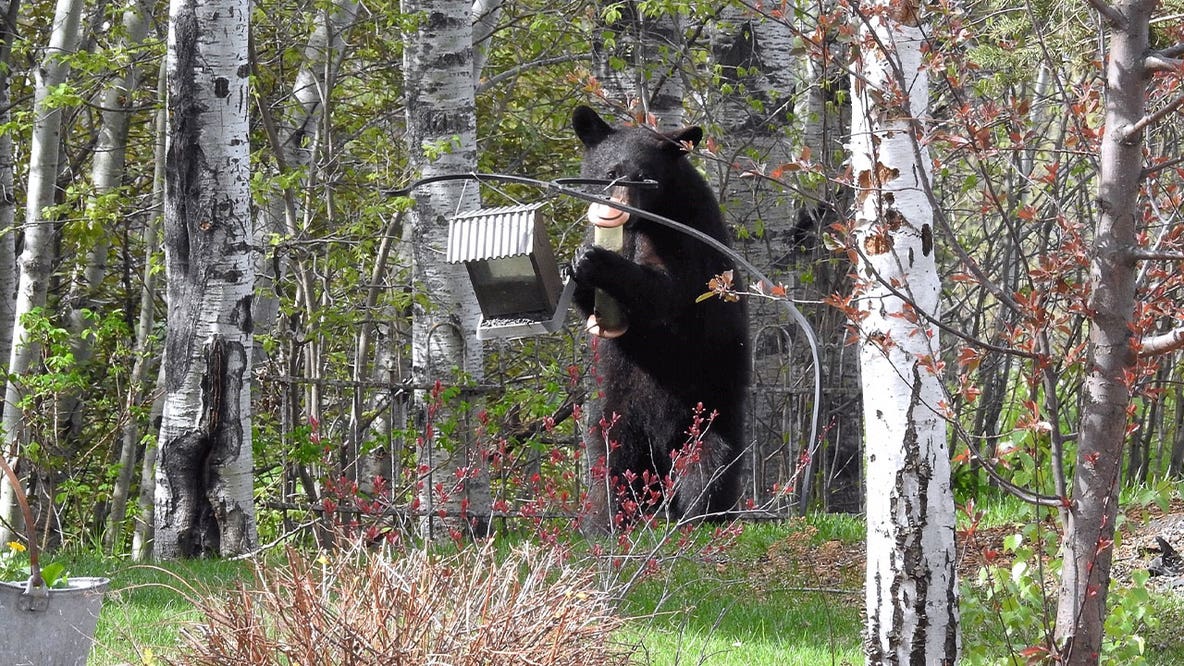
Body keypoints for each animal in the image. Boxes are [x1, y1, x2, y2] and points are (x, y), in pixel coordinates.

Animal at [570, 105, 750, 532]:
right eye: (610, 171)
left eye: (644, 177)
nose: (620, 209)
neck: (644, 224)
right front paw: (579, 261)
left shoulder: (688, 235)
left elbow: (668, 292)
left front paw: (600, 261)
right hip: (615, 413)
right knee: (610, 464)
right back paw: (606, 522)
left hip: (709, 409)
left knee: (709, 465)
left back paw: (701, 518)